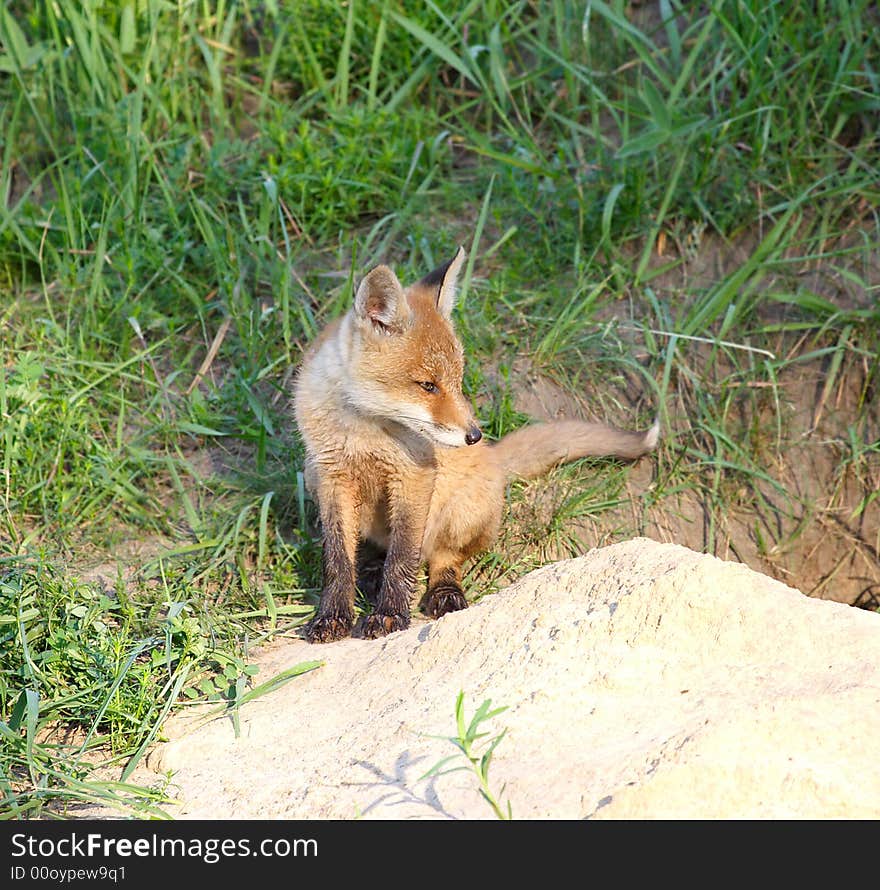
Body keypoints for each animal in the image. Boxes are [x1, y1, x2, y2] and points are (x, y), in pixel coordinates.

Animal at [296, 246, 660, 640]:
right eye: (428, 385)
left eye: (457, 380)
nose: (474, 435)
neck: (363, 430)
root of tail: (494, 459)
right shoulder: (331, 478)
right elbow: (337, 560)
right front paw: (332, 615)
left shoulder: (415, 475)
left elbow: (403, 556)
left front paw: (390, 613)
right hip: (312, 479)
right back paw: (371, 572)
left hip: (463, 511)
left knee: (443, 558)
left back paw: (444, 591)